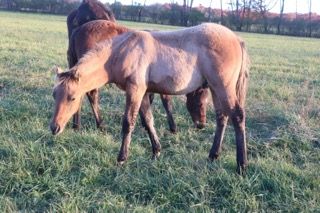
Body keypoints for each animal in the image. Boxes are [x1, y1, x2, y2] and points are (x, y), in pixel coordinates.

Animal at [50, 22, 250, 173]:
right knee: (222, 117)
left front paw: (121, 158)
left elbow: (128, 122)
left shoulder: (135, 89)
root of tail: (237, 39)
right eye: (54, 95)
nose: (54, 128)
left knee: (237, 116)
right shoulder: (144, 92)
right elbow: (148, 120)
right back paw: (213, 155)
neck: (122, 51)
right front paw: (156, 151)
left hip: (223, 87)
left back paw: (241, 165)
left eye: (72, 98)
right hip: (216, 89)